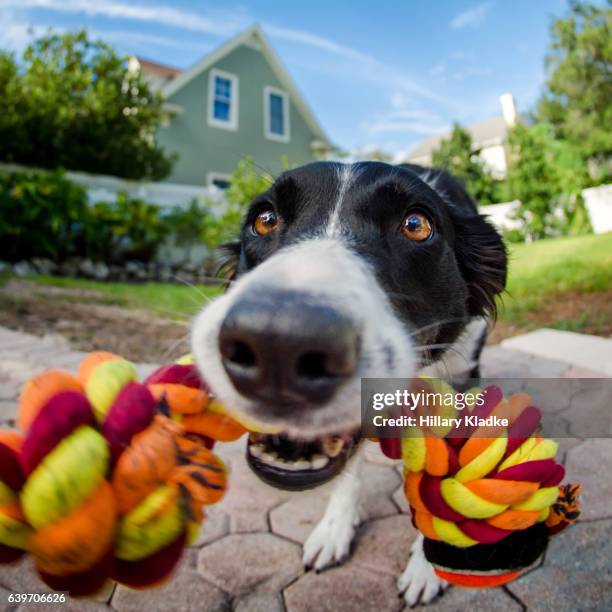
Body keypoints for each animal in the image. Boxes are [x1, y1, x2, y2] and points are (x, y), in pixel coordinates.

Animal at [192, 161, 506, 608]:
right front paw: (334, 530)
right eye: (265, 219)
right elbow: (348, 474)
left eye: (416, 225)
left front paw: (429, 565)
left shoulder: (460, 381)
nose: (277, 341)